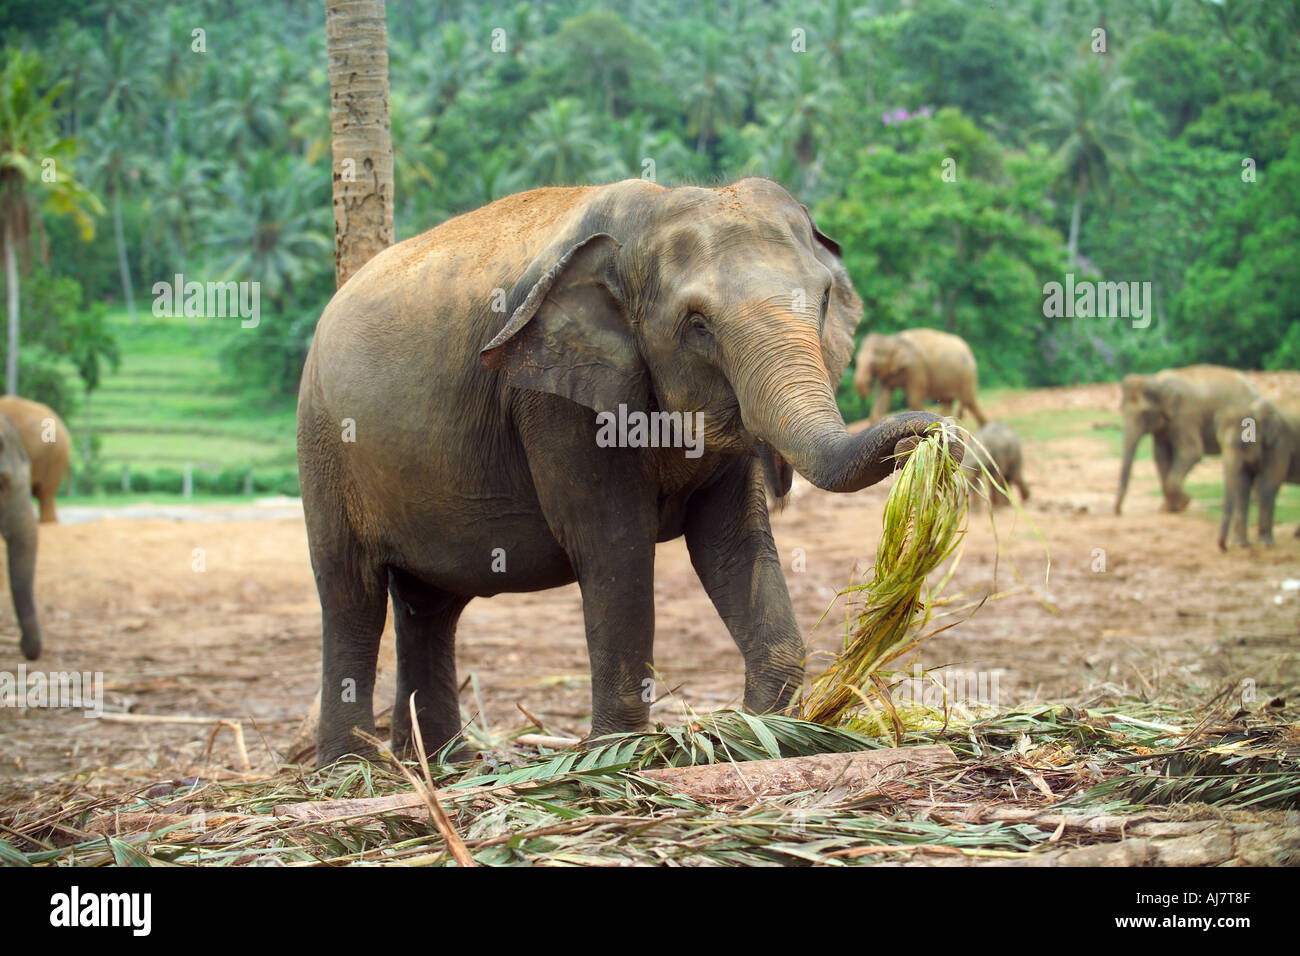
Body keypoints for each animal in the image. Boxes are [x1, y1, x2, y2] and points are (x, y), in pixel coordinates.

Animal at [297, 177, 951, 766]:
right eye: (697, 324)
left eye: (821, 302)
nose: (928, 435)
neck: (651, 213)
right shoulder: (553, 398)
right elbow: (614, 547)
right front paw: (617, 756)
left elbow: (731, 544)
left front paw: (766, 736)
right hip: (325, 444)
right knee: (350, 592)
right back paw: (352, 772)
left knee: (429, 606)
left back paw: (446, 764)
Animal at [853, 328, 987, 426]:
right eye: (856, 360)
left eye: (872, 364)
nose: (868, 388)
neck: (893, 340)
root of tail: (967, 348)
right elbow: (883, 398)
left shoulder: (916, 367)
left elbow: (914, 398)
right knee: (947, 402)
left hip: (967, 374)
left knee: (968, 401)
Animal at [1115, 365, 1259, 515]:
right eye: (1120, 409)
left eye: (1144, 413)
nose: (1119, 512)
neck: (1158, 382)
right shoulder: (1164, 428)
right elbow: (1161, 456)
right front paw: (1168, 508)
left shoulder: (1185, 417)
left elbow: (1191, 452)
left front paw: (1185, 501)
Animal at [1216, 395, 1300, 549]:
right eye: (1220, 443)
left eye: (1244, 444)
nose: (1224, 548)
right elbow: (1242, 485)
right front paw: (1239, 544)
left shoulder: (1280, 445)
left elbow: (1267, 485)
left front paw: (1264, 544)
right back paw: (1297, 535)